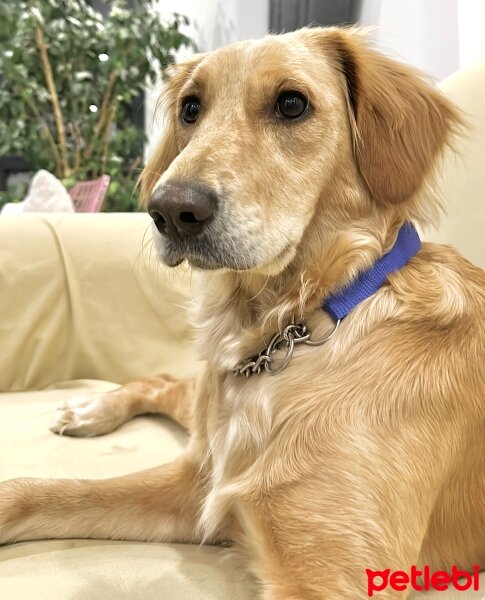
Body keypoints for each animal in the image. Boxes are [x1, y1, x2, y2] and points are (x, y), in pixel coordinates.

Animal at [0, 25, 484, 596]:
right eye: (190, 109)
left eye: (292, 104)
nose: (170, 211)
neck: (297, 324)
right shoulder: (198, 488)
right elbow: (32, 490)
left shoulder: (328, 573)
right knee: (166, 382)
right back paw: (90, 410)